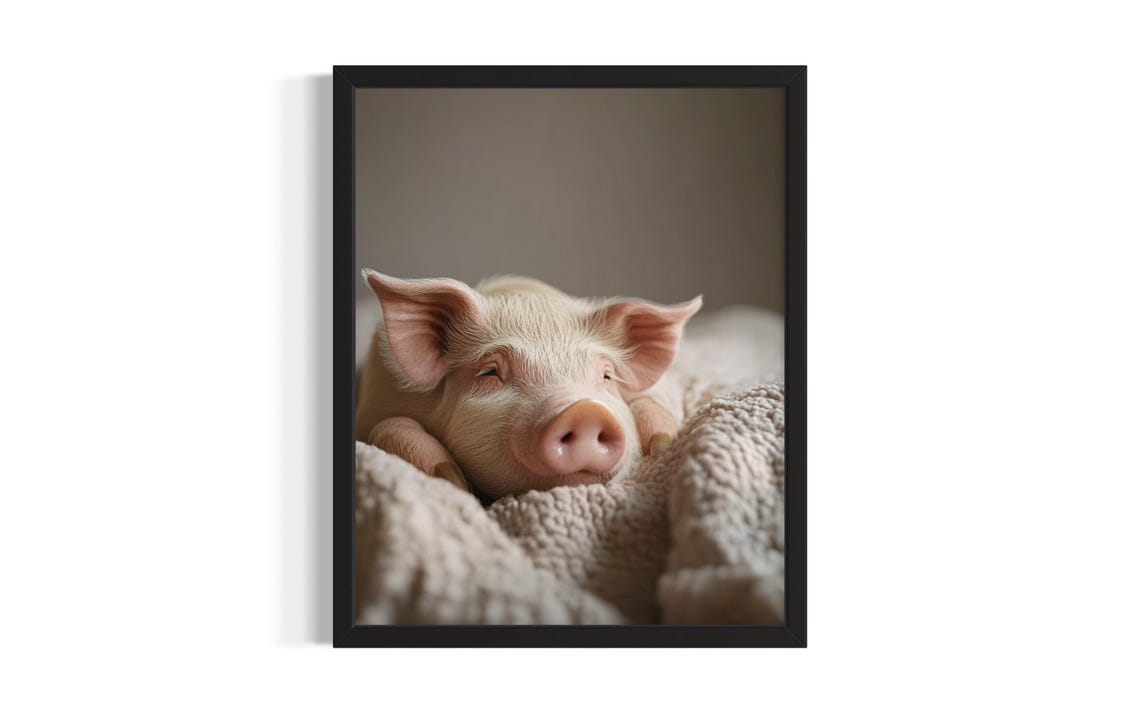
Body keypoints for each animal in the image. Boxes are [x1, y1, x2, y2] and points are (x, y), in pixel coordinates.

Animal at [355, 270, 702, 500]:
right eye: (490, 372)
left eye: (606, 376)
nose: (584, 410)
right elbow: (388, 427)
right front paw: (451, 480)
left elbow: (649, 404)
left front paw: (662, 445)